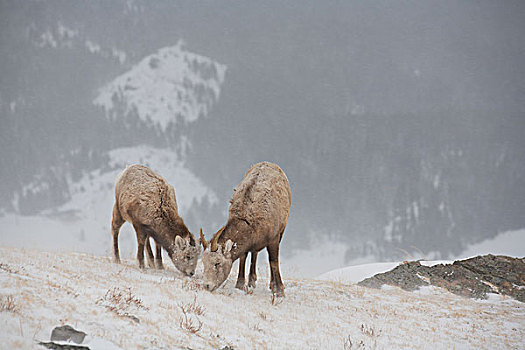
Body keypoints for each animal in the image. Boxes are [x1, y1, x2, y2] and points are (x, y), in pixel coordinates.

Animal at [200, 161, 290, 296]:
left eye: (217, 263)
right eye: (204, 262)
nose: (207, 285)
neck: (248, 220)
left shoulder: (274, 238)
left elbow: (273, 261)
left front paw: (279, 290)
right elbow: (243, 257)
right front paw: (240, 285)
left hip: (282, 230)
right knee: (254, 253)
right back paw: (252, 281)